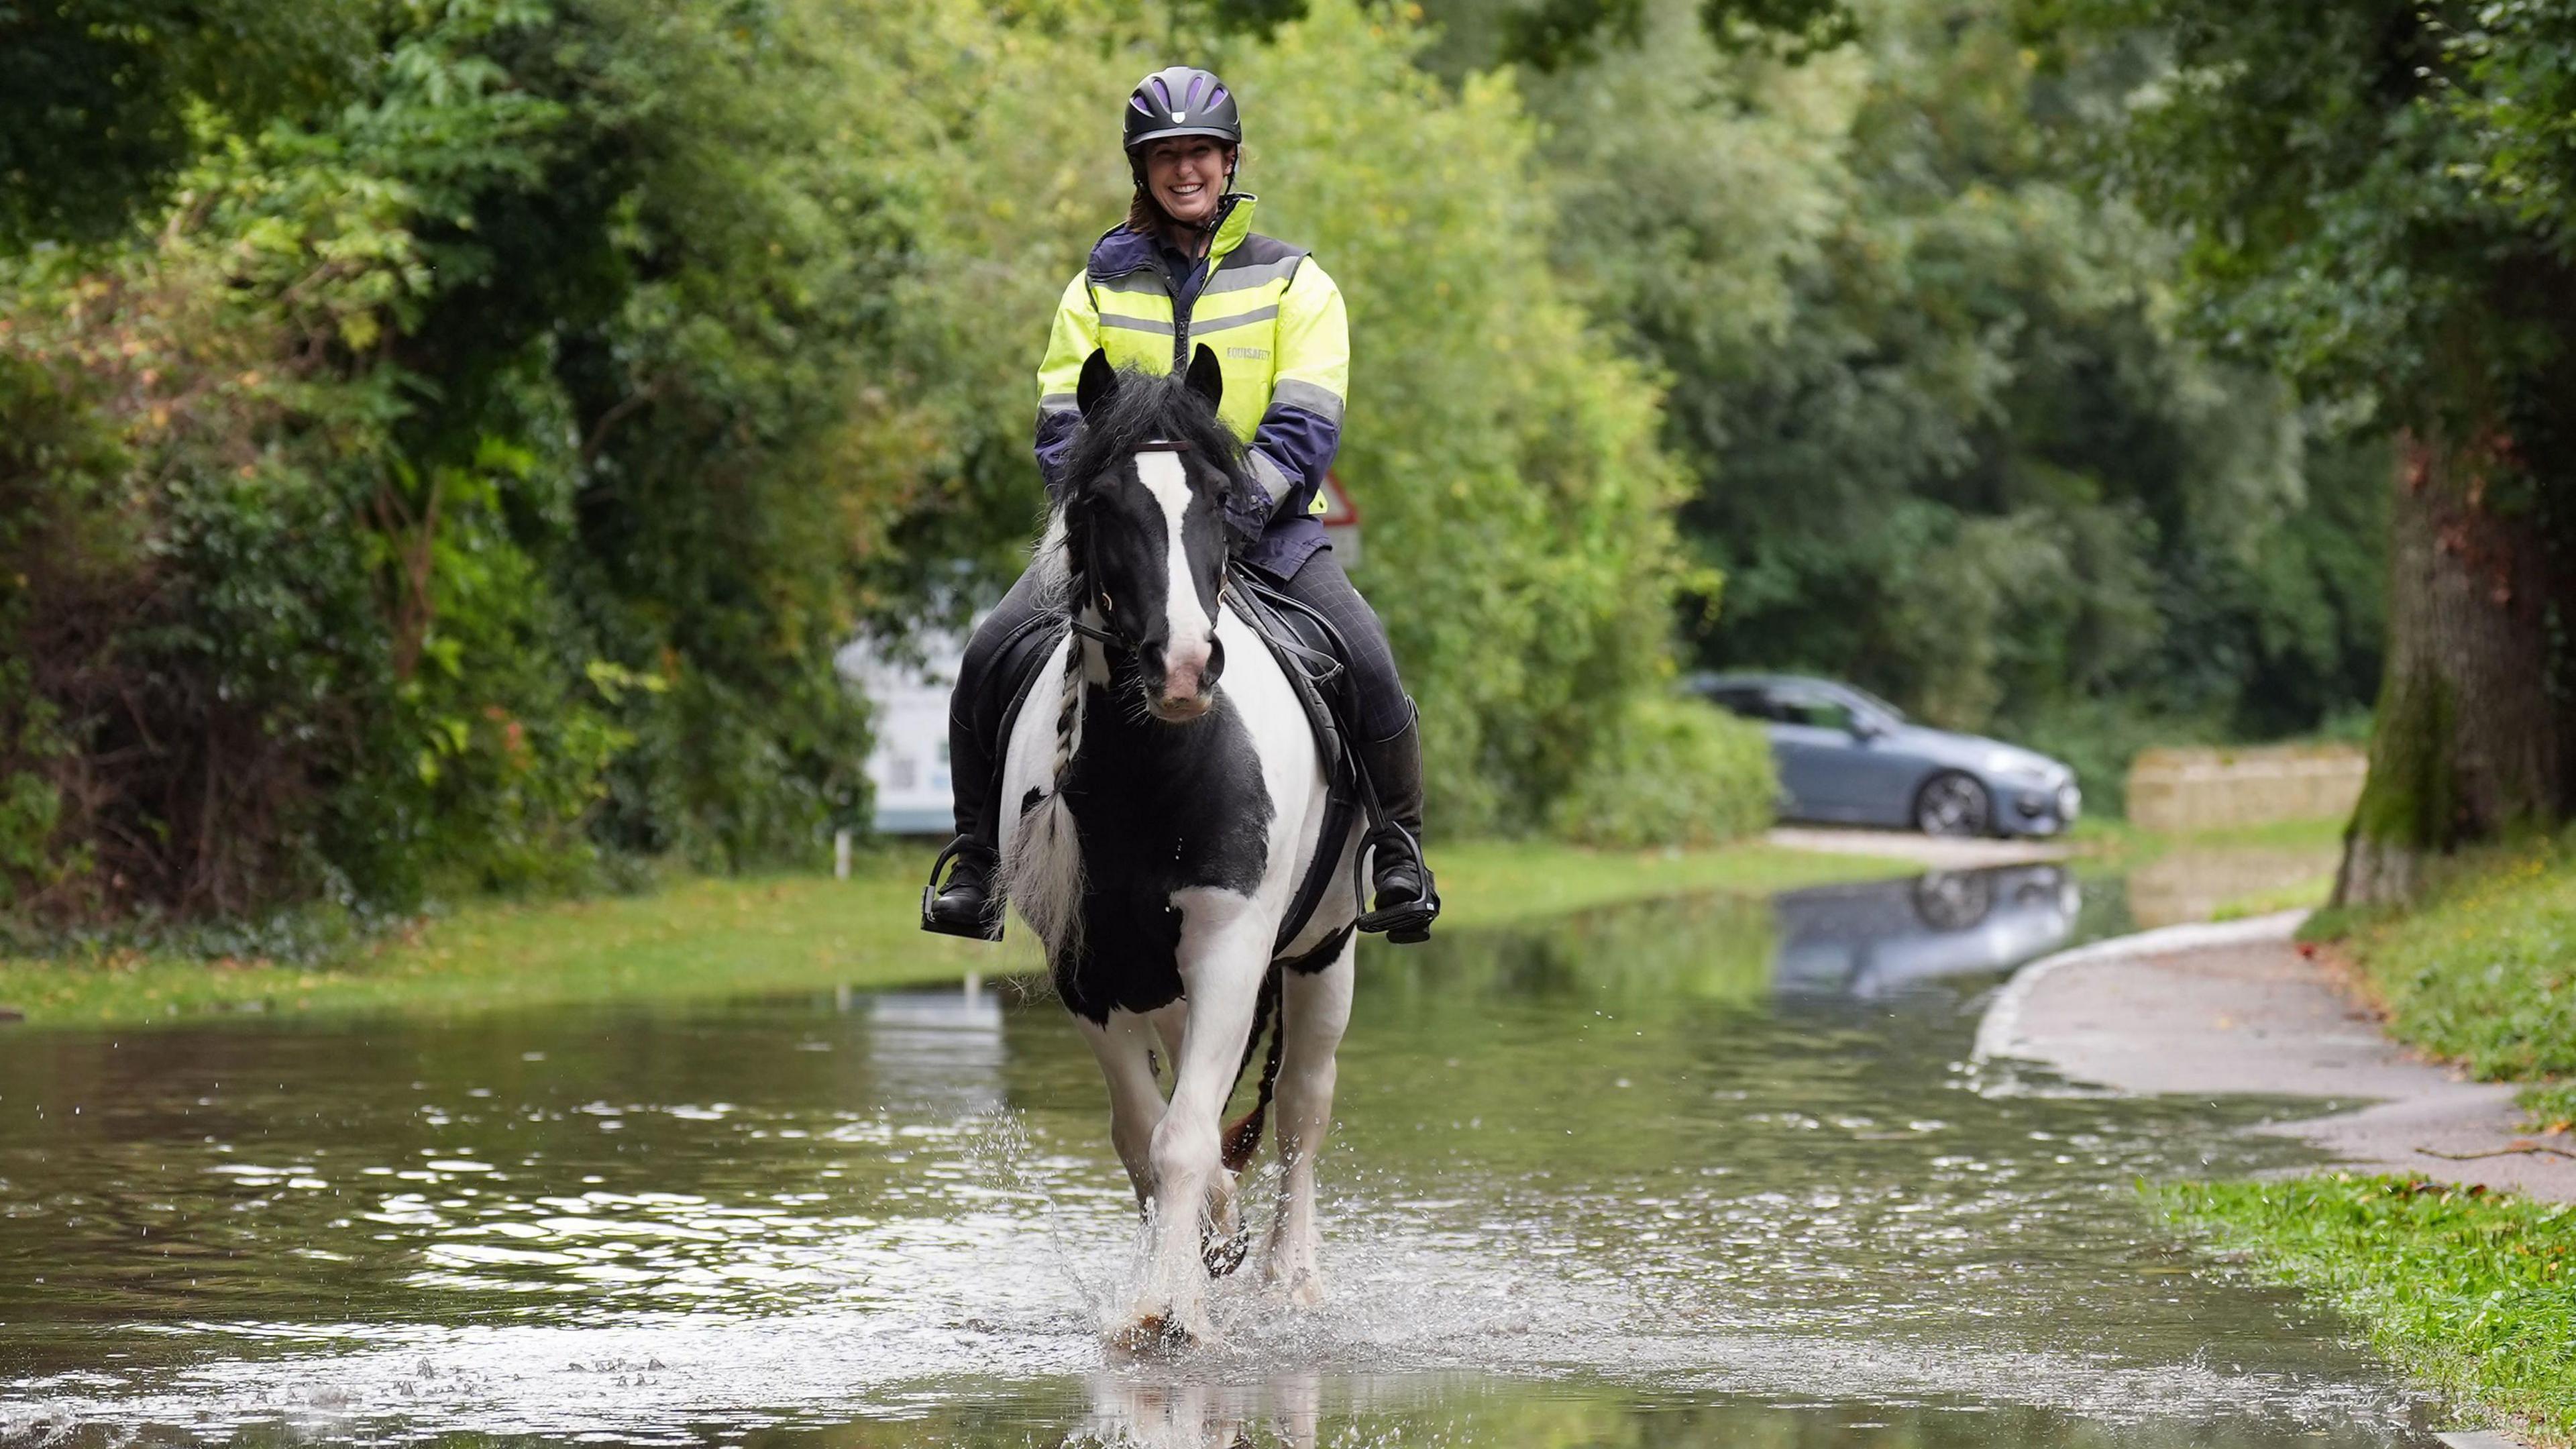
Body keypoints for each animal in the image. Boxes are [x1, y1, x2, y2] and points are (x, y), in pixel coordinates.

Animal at [999, 343, 1370, 1340]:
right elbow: (1145, 1135)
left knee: (1304, 1107)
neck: (1153, 776)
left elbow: (1188, 1135)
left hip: (1324, 953)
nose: (1184, 667)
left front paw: (1171, 1311)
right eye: (1101, 501)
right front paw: (1179, 1275)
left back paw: (1293, 1278)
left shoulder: (1234, 950)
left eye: (1219, 497)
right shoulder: (1085, 972)